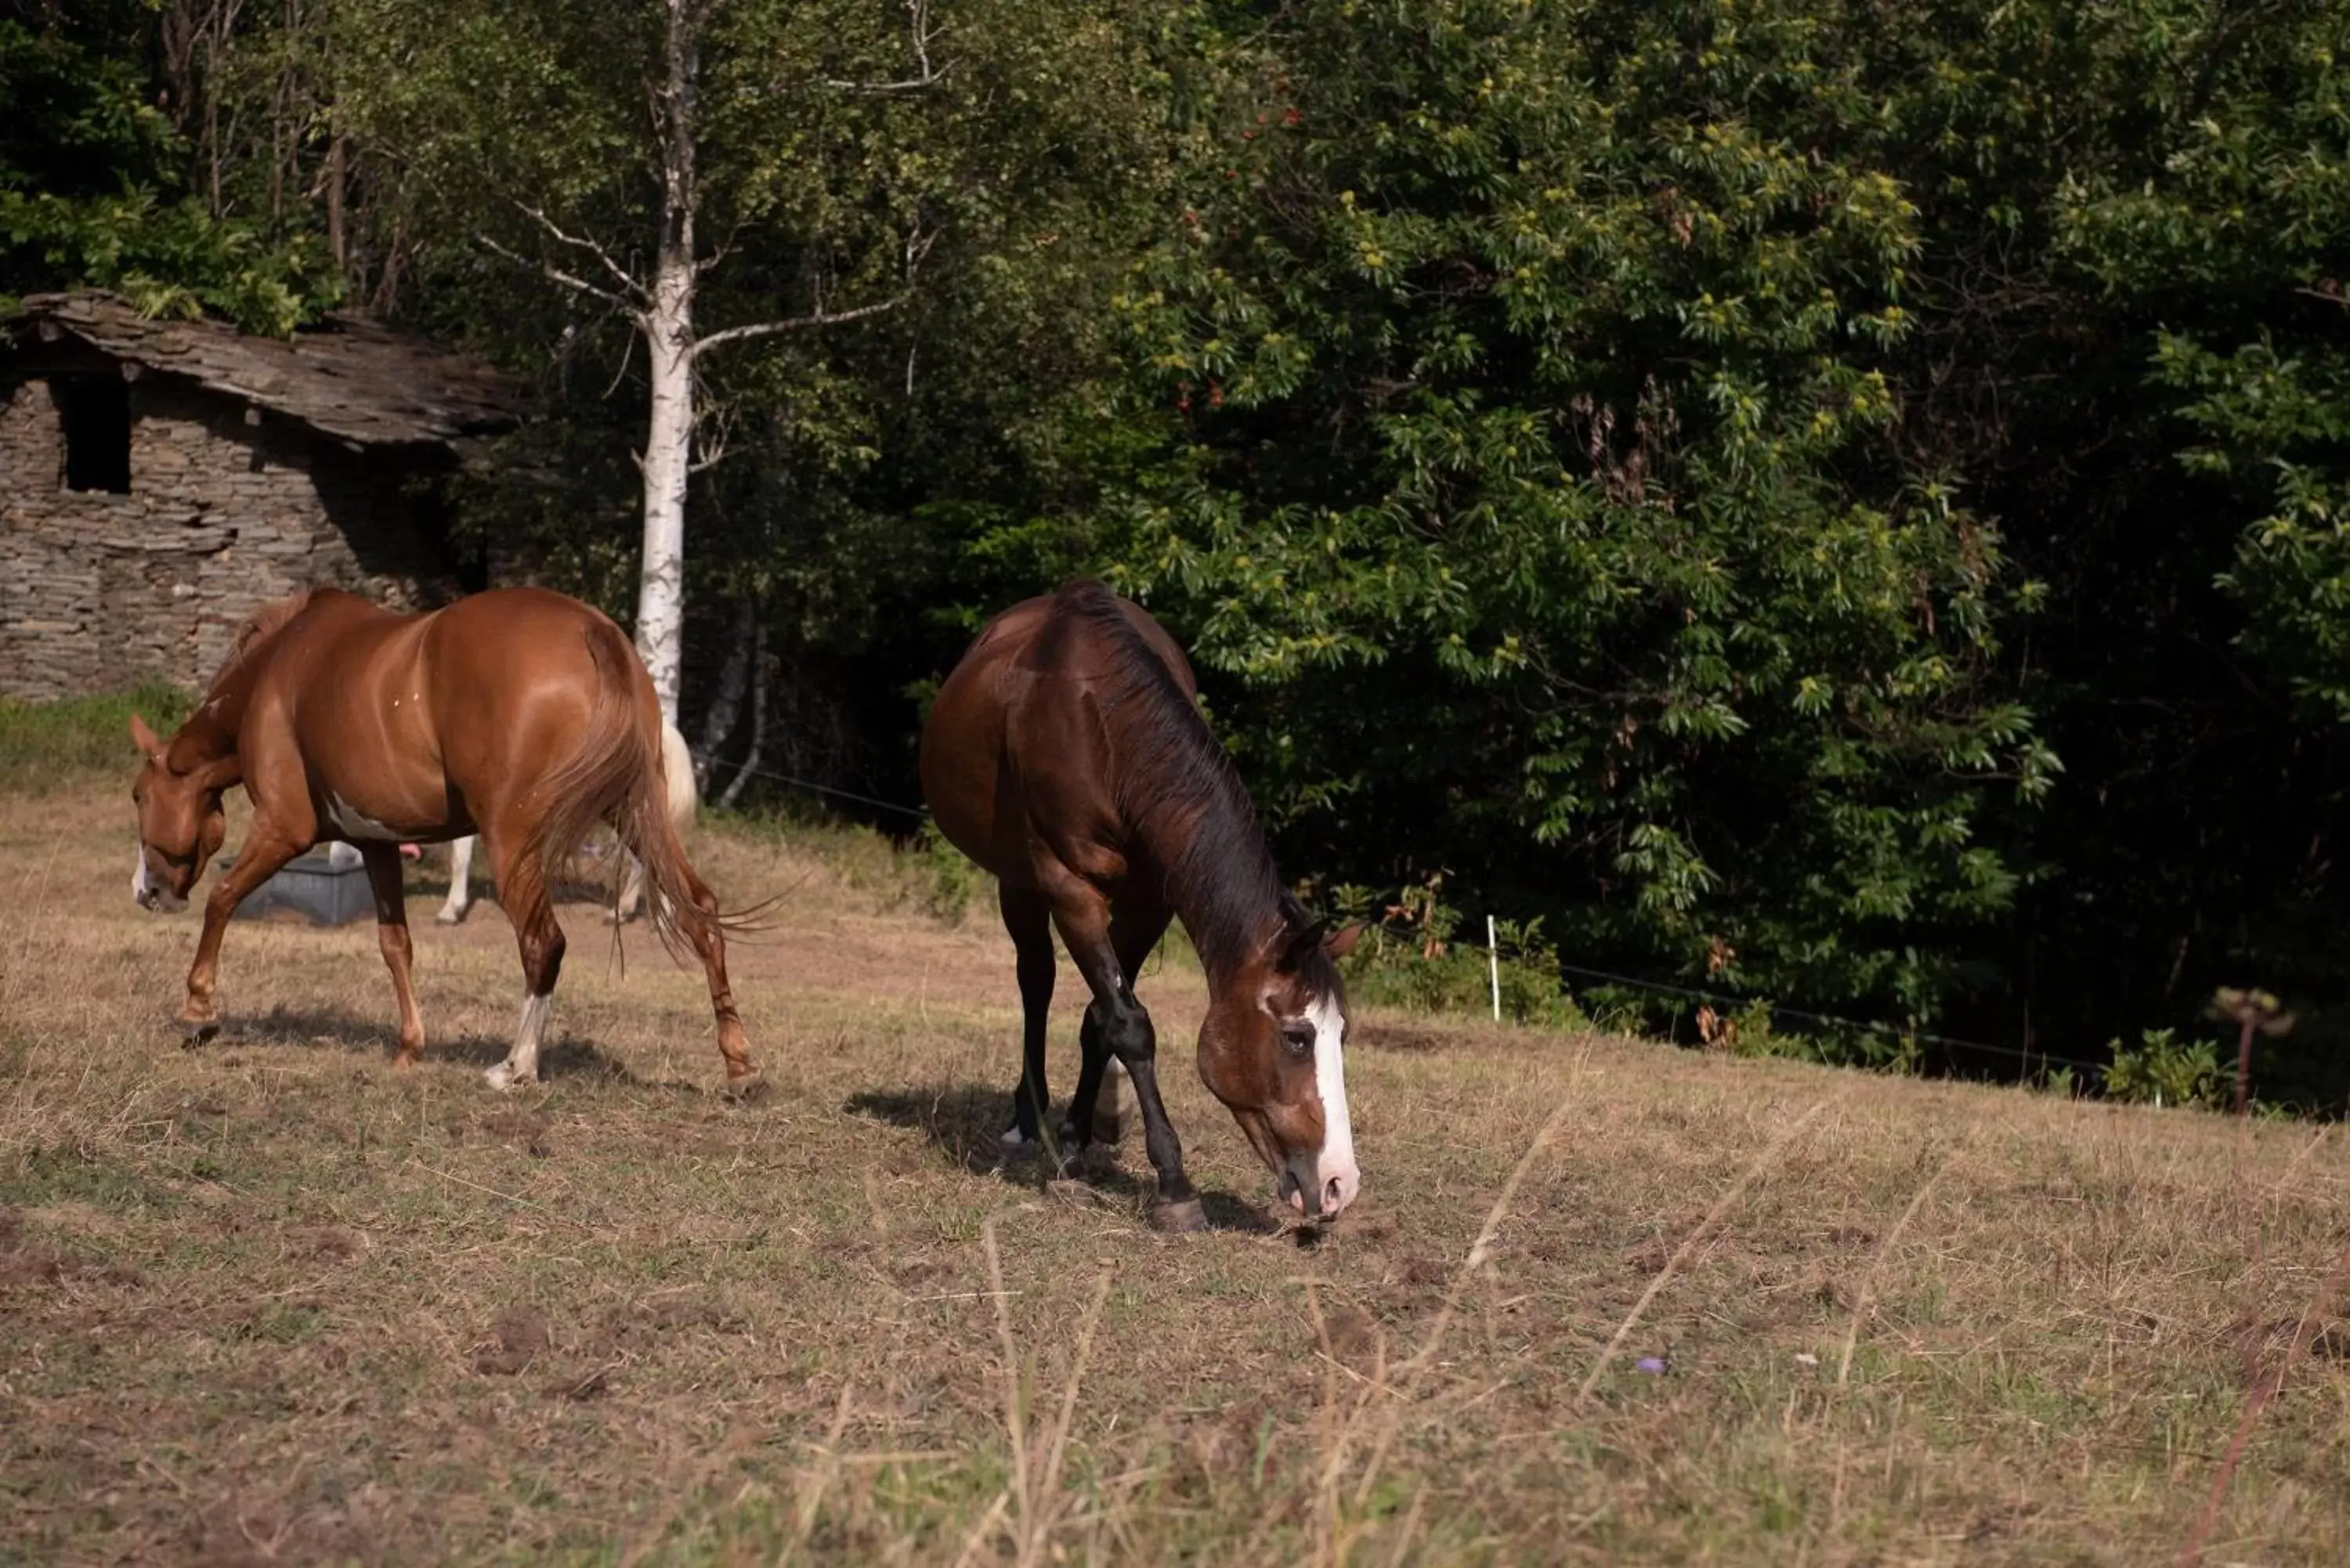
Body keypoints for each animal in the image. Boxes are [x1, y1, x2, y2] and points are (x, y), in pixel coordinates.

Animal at [912, 583, 1363, 1231]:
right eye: (1297, 1037)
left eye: (1342, 1033)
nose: (1338, 1184)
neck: (1102, 727)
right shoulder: (1069, 890)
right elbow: (1129, 1025)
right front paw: (1173, 1185)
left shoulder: (1151, 902)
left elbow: (1101, 1022)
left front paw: (1074, 1150)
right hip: (1016, 881)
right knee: (1035, 981)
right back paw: (1026, 1118)